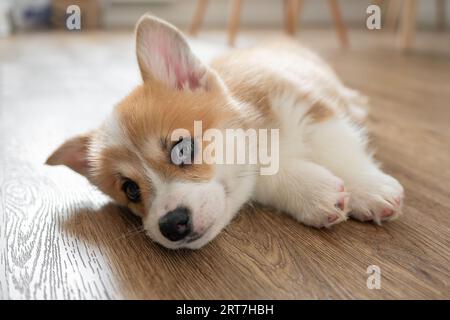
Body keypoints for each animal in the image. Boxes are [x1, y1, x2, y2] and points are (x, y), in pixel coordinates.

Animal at [46, 15, 404, 250]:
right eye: (130, 190)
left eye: (181, 148)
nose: (172, 225)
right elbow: (269, 177)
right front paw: (316, 194)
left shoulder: (309, 107)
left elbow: (340, 150)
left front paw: (370, 189)